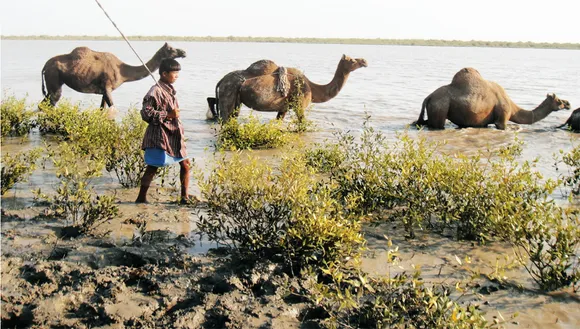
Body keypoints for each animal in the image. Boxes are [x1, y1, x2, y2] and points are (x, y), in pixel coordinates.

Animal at [41, 42, 186, 111]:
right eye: (170, 49)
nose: (184, 52)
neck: (123, 73)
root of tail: (45, 66)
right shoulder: (107, 87)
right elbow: (113, 109)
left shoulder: (104, 90)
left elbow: (102, 109)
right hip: (54, 79)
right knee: (52, 101)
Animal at [206, 55, 368, 121]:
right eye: (352, 60)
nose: (364, 61)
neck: (312, 88)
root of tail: (221, 81)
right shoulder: (299, 106)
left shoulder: (283, 107)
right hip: (229, 92)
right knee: (225, 117)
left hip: (236, 99)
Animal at [412, 67, 572, 129]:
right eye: (559, 100)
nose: (568, 103)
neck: (513, 108)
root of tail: (429, 97)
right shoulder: (502, 119)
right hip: (440, 109)